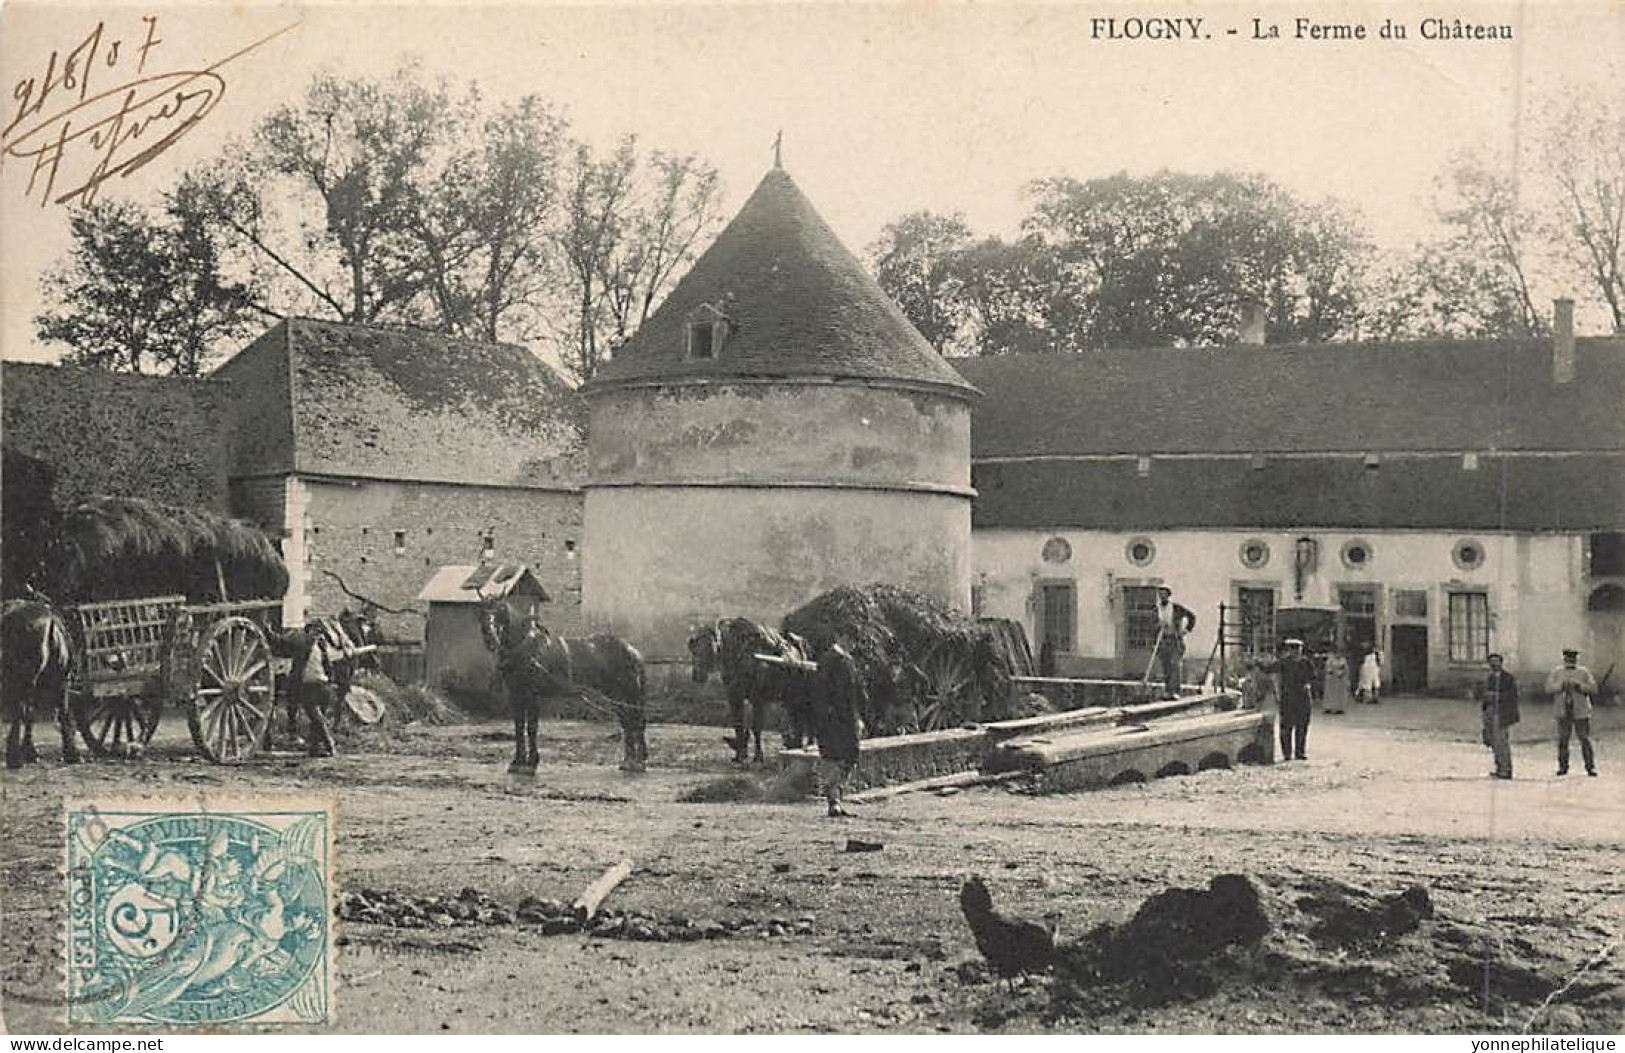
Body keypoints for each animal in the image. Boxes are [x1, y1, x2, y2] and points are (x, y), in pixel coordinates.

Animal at [474, 601, 646, 773]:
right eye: (482, 613)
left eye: (500, 612)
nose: (490, 638)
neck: (525, 648)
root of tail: (632, 650)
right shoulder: (516, 694)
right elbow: (519, 727)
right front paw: (518, 761)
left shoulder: (532, 694)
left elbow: (531, 728)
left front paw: (531, 762)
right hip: (615, 695)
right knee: (627, 723)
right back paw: (629, 761)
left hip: (627, 693)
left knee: (634, 722)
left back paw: (637, 762)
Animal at [682, 617, 812, 763]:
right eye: (694, 651)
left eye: (708, 648)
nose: (696, 675)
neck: (739, 655)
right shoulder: (734, 698)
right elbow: (738, 725)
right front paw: (740, 755)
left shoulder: (757, 699)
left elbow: (756, 727)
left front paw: (758, 756)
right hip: (789, 697)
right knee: (797, 719)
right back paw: (795, 745)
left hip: (801, 696)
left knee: (807, 719)